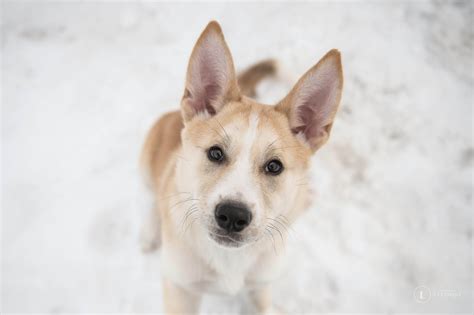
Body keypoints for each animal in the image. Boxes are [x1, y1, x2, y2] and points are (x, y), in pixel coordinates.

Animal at [139, 21, 342, 314]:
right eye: (215, 153)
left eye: (274, 166)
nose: (233, 216)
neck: (229, 260)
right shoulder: (180, 289)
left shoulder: (260, 288)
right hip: (147, 162)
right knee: (152, 195)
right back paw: (149, 231)